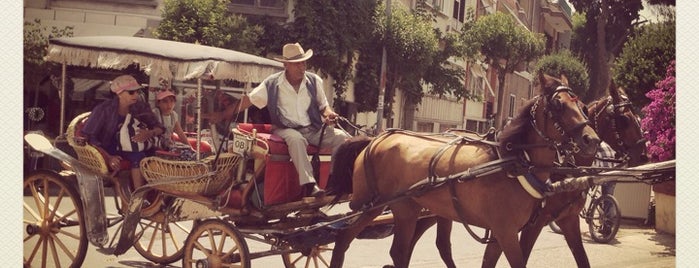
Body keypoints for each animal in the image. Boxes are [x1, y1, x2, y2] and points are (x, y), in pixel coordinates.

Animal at [326, 73, 600, 268]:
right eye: (558, 104)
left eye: (581, 105)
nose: (592, 139)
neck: (514, 164)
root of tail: (376, 138)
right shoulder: (509, 232)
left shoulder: (504, 232)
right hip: (370, 205)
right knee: (343, 239)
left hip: (407, 208)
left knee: (400, 251)